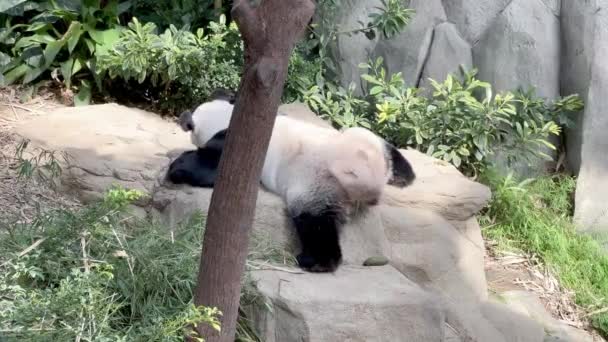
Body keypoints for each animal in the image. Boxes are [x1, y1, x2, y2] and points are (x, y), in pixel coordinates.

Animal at [166, 88, 416, 272]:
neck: (227, 117)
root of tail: (367, 176)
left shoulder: (236, 145)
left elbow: (214, 168)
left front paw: (176, 168)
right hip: (362, 139)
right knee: (384, 147)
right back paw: (405, 176)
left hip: (315, 184)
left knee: (315, 221)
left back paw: (314, 261)